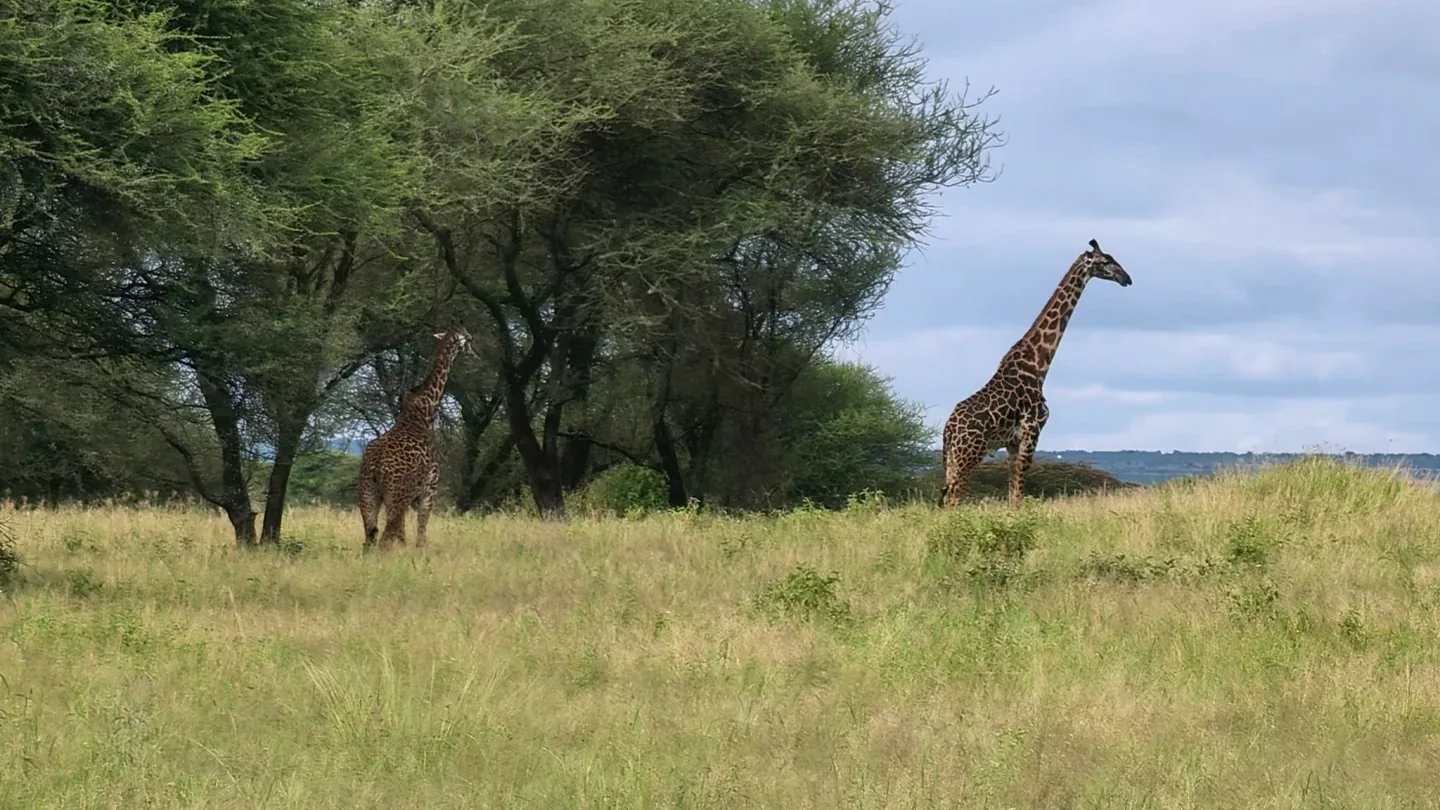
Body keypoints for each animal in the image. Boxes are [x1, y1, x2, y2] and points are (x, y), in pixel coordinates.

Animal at [357, 326, 476, 550]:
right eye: (468, 339)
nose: (474, 356)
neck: (424, 412)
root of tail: (376, 466)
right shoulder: (429, 490)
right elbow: (420, 535)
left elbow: (404, 537)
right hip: (396, 496)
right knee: (385, 538)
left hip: (368, 493)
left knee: (370, 537)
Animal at [939, 238, 1132, 508]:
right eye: (1105, 261)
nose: (1127, 278)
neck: (1038, 364)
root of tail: (948, 429)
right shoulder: (1033, 431)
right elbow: (1019, 493)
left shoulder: (1012, 443)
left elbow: (1013, 494)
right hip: (969, 453)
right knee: (951, 500)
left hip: (952, 459)